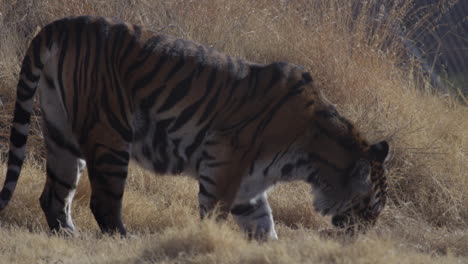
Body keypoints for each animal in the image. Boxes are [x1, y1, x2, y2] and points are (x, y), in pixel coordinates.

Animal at [0, 16, 392, 239]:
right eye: (373, 206)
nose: (365, 235)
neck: (310, 160)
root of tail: (63, 23)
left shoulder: (249, 189)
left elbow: (264, 227)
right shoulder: (224, 167)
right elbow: (214, 216)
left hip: (61, 133)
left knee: (54, 195)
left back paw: (69, 236)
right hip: (109, 136)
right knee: (104, 202)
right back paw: (122, 239)